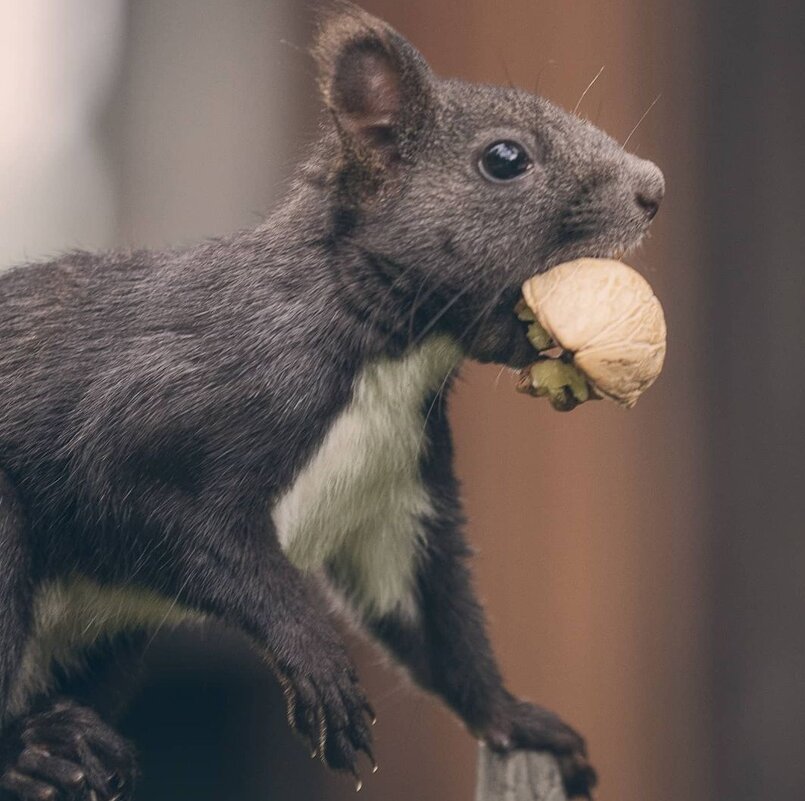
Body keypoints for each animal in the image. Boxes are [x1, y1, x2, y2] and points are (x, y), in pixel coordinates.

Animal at [0, 3, 664, 796]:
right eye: (504, 159)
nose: (654, 188)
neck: (390, 356)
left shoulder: (396, 490)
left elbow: (433, 620)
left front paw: (516, 717)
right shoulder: (160, 409)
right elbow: (182, 525)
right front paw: (315, 659)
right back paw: (37, 751)